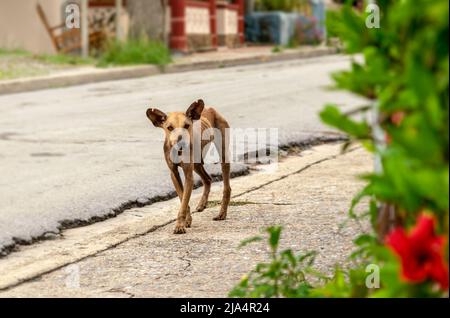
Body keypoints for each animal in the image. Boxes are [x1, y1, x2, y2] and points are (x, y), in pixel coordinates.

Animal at [147, 99, 232, 234]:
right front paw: (187, 220)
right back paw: (202, 204)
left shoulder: (188, 175)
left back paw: (222, 213)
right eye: (169, 128)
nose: (180, 141)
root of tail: (210, 109)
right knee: (208, 179)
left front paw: (179, 225)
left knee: (226, 188)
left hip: (223, 155)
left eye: (186, 125)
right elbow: (183, 198)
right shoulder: (174, 174)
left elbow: (184, 201)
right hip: (197, 164)